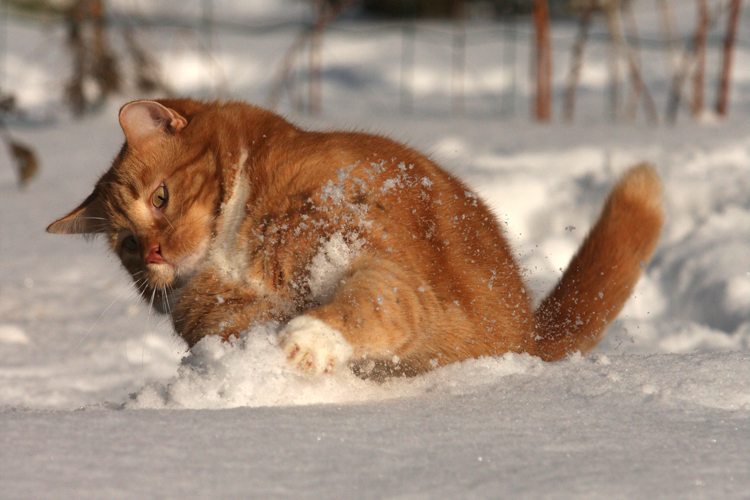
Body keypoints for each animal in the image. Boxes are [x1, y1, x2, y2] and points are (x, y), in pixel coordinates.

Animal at [48, 98, 664, 378]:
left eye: (160, 198)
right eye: (127, 246)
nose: (153, 253)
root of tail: (533, 336)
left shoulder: (386, 267)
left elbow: (367, 306)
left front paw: (306, 341)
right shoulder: (216, 318)